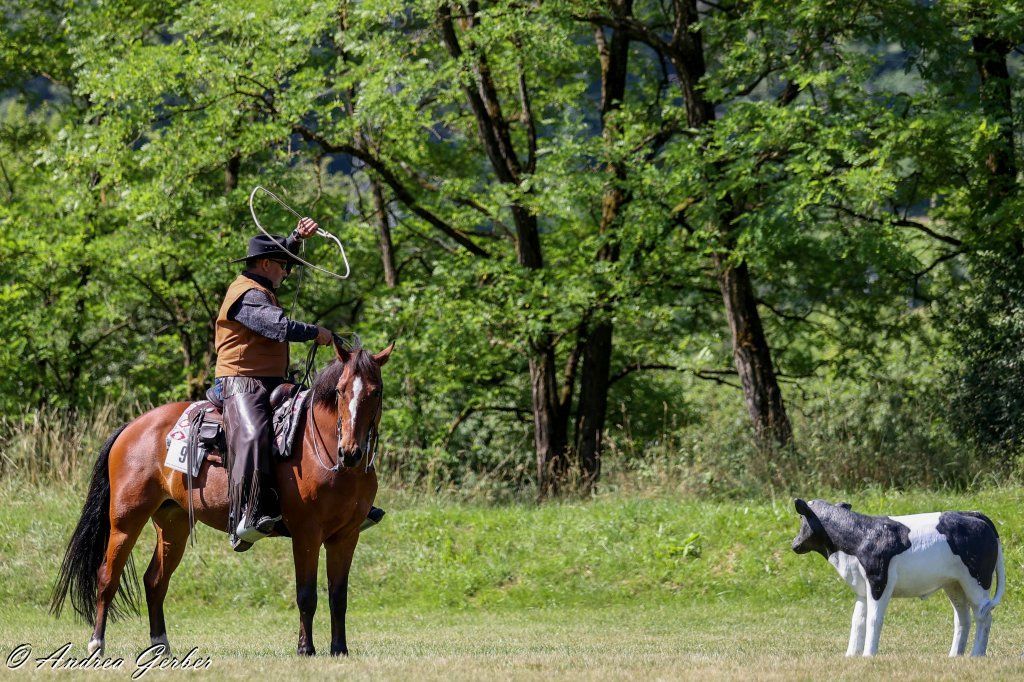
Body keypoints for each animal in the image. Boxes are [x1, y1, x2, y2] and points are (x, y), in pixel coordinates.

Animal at [50, 340, 393, 657]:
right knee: (107, 577)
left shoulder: (345, 537)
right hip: (125, 521)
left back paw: (161, 646)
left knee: (155, 581)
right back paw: (96, 644)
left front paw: (339, 649)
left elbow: (338, 597)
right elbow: (307, 594)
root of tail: (132, 427)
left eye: (376, 392)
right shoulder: (306, 534)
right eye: (340, 391)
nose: (351, 452)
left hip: (173, 524)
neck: (316, 444)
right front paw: (305, 649)